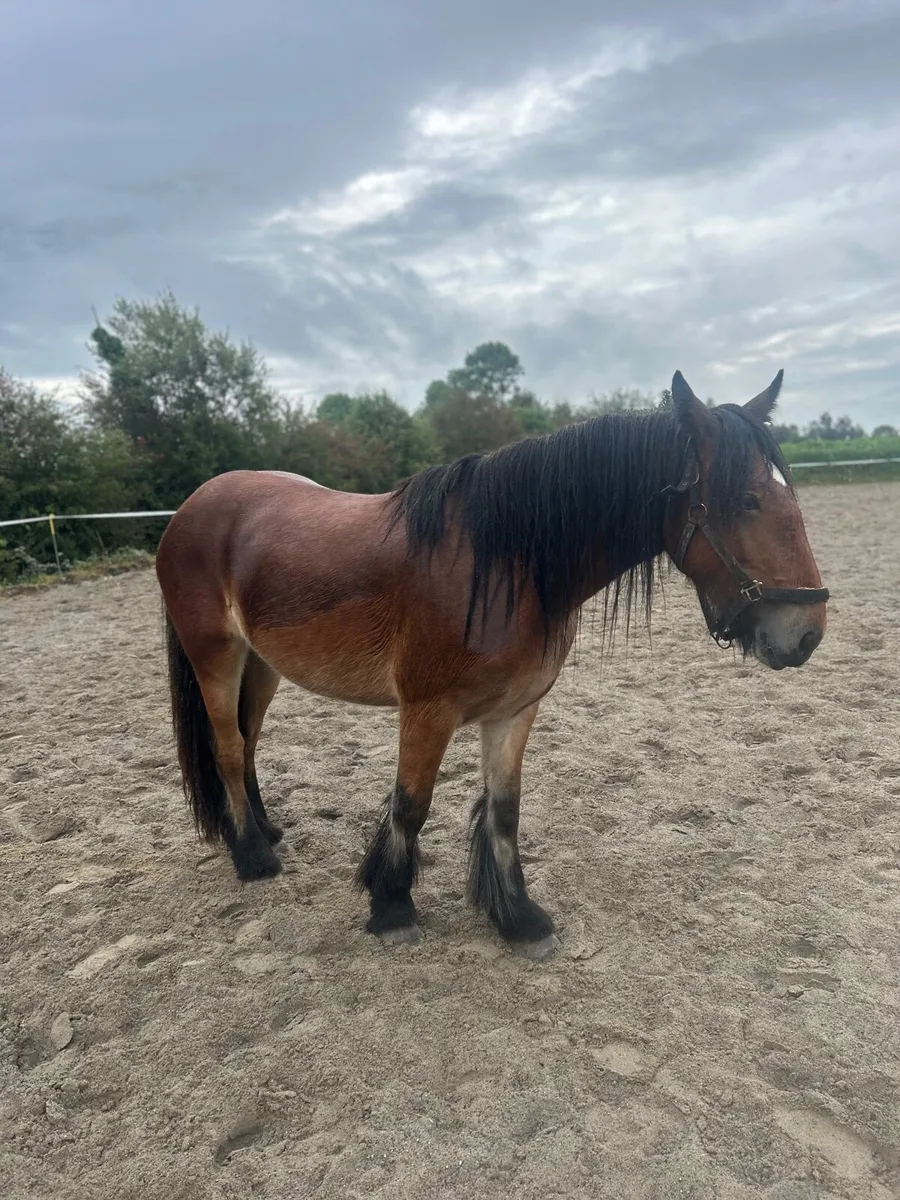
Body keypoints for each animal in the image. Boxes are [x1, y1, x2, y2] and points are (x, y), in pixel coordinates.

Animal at [155, 370, 829, 959]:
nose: (806, 634)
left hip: (262, 664)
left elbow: (504, 809)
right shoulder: (426, 711)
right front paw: (392, 907)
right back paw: (252, 856)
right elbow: (411, 804)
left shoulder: (516, 709)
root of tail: (194, 506)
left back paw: (264, 831)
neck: (505, 562)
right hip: (217, 657)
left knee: (248, 741)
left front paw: (518, 918)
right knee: (228, 748)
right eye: (746, 499)